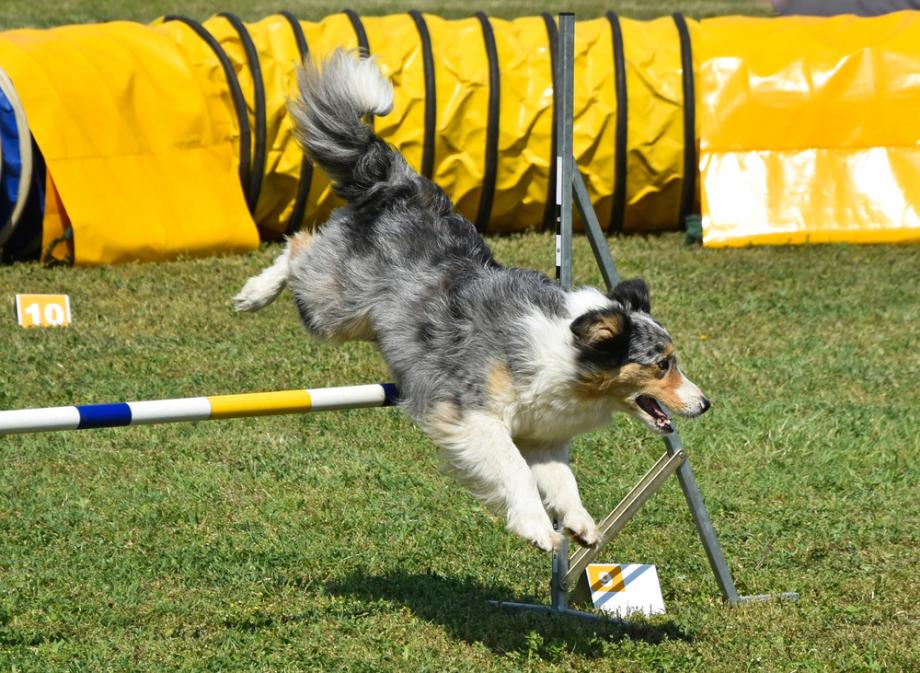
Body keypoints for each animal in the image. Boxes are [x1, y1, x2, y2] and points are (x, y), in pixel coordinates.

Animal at [234, 51, 708, 552]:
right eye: (662, 365)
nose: (705, 404)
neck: (567, 353)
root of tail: (399, 183)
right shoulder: (471, 414)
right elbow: (516, 471)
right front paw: (537, 528)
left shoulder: (541, 432)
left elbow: (562, 480)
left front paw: (580, 523)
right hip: (334, 307)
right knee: (299, 246)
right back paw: (254, 294)